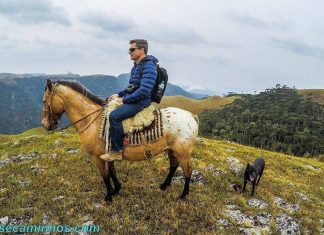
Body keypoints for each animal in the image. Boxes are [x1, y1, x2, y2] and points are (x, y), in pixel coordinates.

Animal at [41, 79, 199, 202]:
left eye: (44, 101)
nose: (45, 125)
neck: (92, 119)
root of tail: (191, 116)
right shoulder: (108, 153)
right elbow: (112, 172)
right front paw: (116, 189)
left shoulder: (97, 157)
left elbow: (105, 176)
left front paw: (108, 196)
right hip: (171, 150)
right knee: (173, 166)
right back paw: (164, 185)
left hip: (183, 151)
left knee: (188, 171)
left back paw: (183, 195)